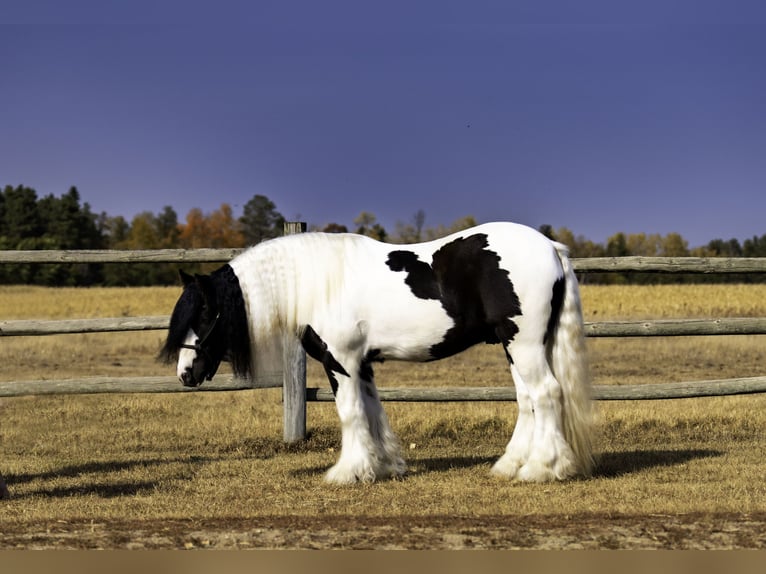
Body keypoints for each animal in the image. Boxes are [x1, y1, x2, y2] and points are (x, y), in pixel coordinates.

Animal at [159, 223, 596, 484]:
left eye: (204, 312)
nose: (185, 374)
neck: (319, 284)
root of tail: (550, 247)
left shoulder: (341, 362)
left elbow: (350, 414)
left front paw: (347, 472)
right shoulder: (362, 364)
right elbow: (371, 412)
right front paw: (380, 466)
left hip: (524, 344)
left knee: (547, 394)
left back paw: (541, 469)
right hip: (514, 345)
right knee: (527, 400)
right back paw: (509, 466)